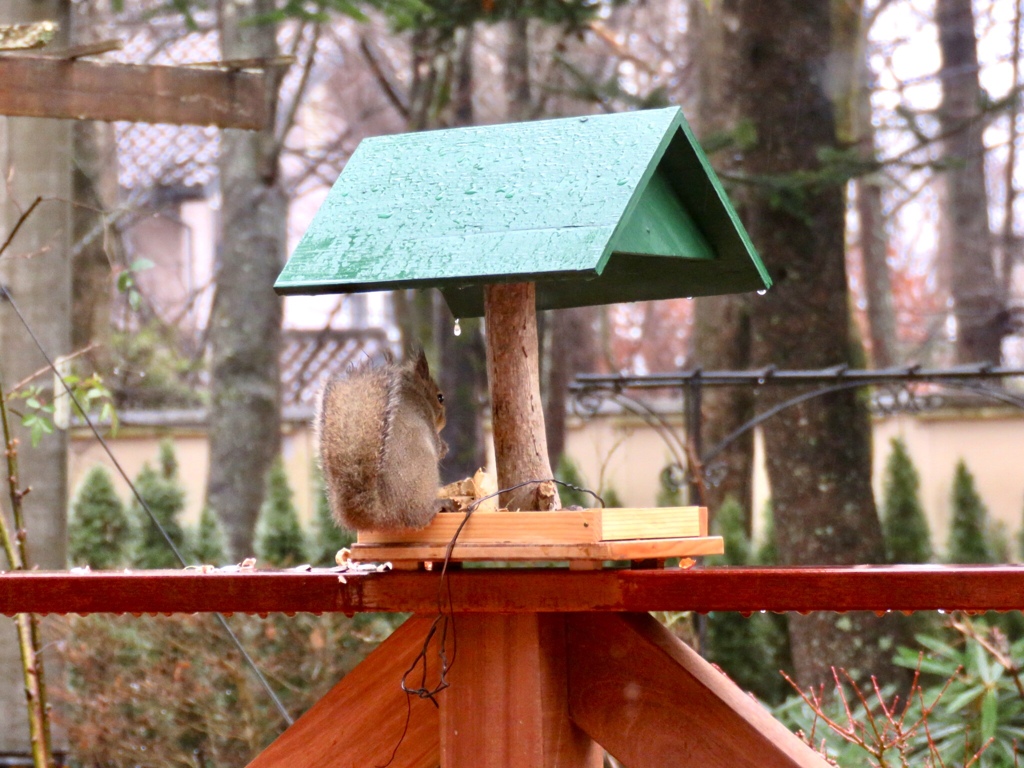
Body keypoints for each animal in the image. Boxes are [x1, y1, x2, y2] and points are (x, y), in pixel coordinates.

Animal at [315, 352, 448, 532]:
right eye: (440, 398)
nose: (444, 421)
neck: (414, 389)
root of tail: (382, 514)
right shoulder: (426, 415)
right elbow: (437, 446)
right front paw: (445, 447)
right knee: (418, 518)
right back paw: (437, 506)